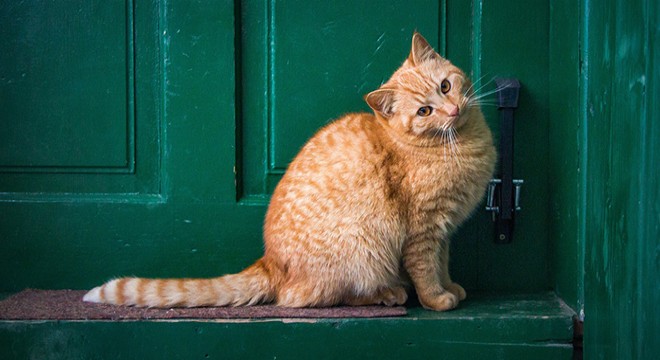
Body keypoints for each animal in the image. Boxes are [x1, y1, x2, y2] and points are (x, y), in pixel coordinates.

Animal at [84, 32, 496, 310]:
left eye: (446, 86)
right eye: (424, 111)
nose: (452, 110)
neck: (461, 143)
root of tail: (269, 262)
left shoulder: (443, 231)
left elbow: (442, 264)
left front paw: (451, 287)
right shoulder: (423, 230)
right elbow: (425, 270)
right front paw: (436, 299)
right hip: (364, 249)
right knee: (311, 298)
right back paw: (388, 293)